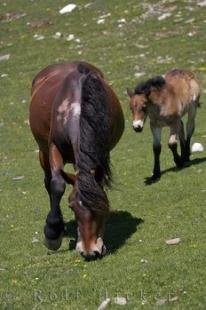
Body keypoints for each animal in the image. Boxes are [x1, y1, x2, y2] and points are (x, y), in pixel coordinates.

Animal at [29, 60, 124, 260]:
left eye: (102, 207)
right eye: (71, 206)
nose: (90, 252)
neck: (78, 108)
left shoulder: (101, 152)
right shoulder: (54, 147)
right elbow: (57, 185)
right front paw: (52, 234)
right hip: (42, 151)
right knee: (48, 180)